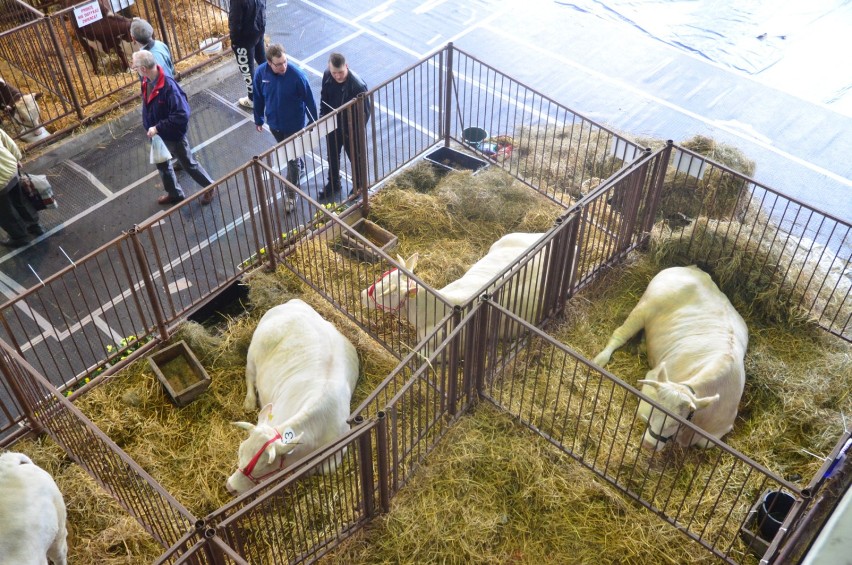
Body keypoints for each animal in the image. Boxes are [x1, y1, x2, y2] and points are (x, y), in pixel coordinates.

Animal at [226, 300, 360, 494]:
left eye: (263, 467)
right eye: (240, 450)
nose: (230, 486)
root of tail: (295, 302)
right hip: (253, 353)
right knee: (249, 376)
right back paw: (249, 402)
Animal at [592, 264, 744, 450]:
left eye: (676, 423)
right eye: (654, 411)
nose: (648, 445)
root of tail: (695, 270)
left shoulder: (718, 432)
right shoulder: (652, 382)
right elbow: (642, 412)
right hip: (645, 307)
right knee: (619, 334)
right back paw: (600, 359)